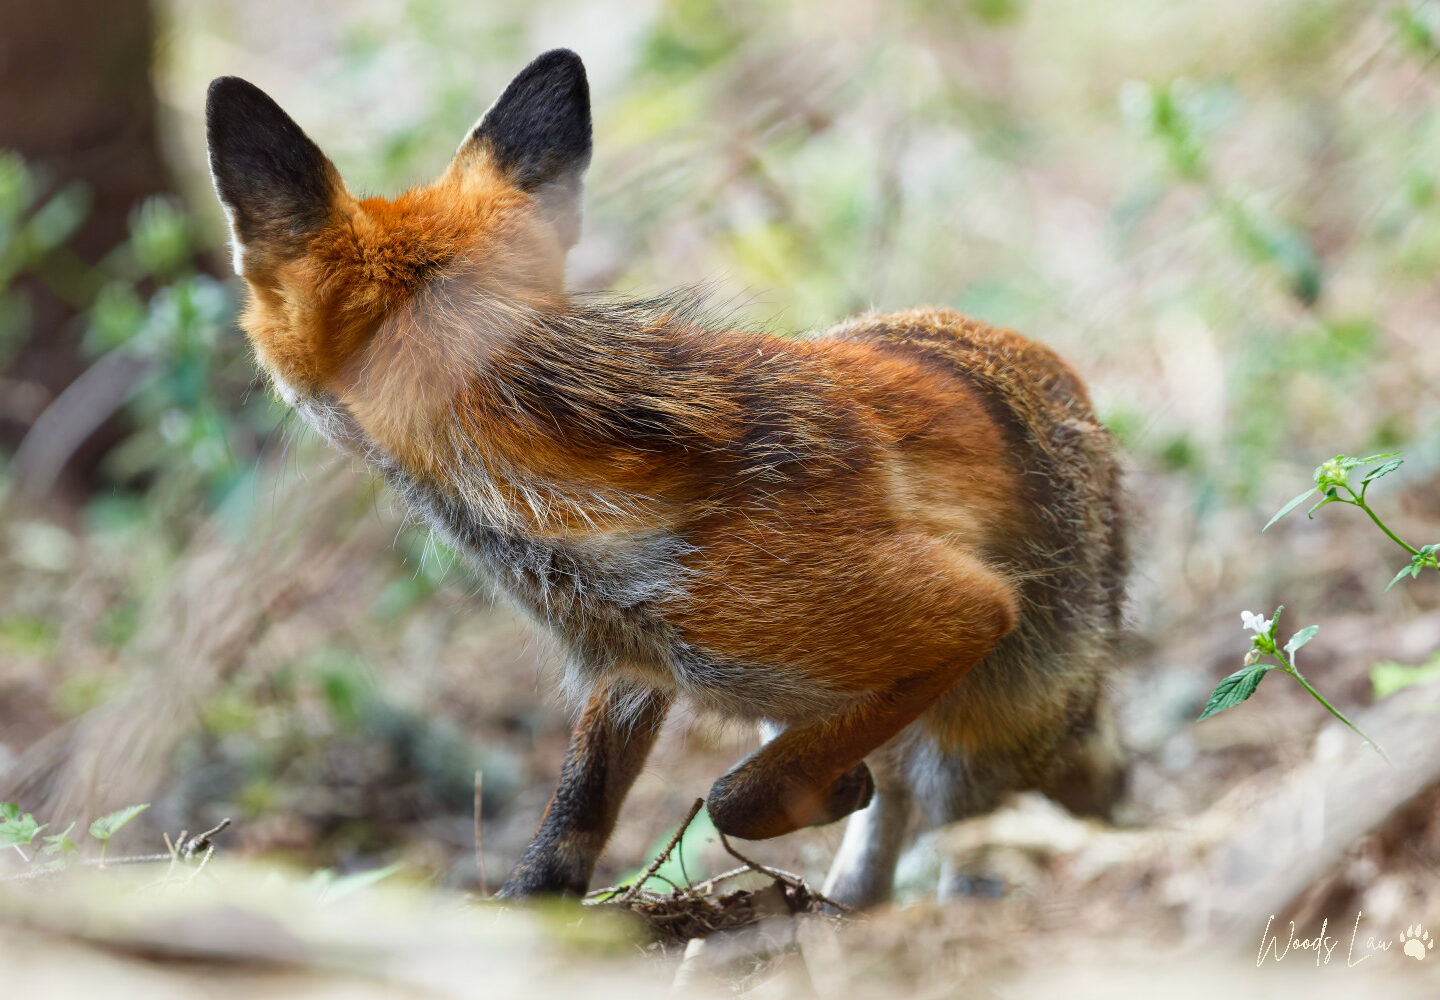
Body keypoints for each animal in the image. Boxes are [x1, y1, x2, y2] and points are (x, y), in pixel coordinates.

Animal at [204, 48, 1128, 908]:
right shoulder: (633, 671)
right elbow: (571, 823)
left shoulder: (960, 612)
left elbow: (732, 798)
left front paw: (823, 792)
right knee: (888, 830)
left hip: (978, 733)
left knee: (965, 828)